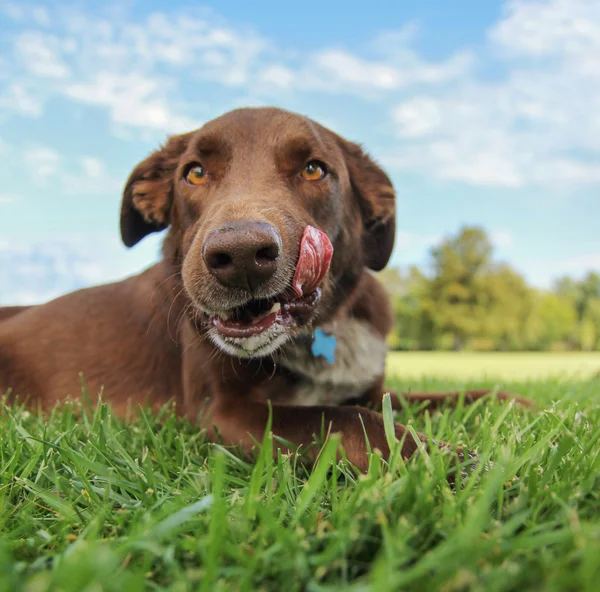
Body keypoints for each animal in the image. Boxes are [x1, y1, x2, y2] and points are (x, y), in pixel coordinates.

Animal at [0, 107, 524, 472]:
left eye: (314, 169)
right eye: (194, 172)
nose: (241, 257)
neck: (317, 329)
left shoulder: (371, 389)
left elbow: (442, 396)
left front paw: (516, 403)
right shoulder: (224, 413)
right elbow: (348, 420)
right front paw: (455, 463)